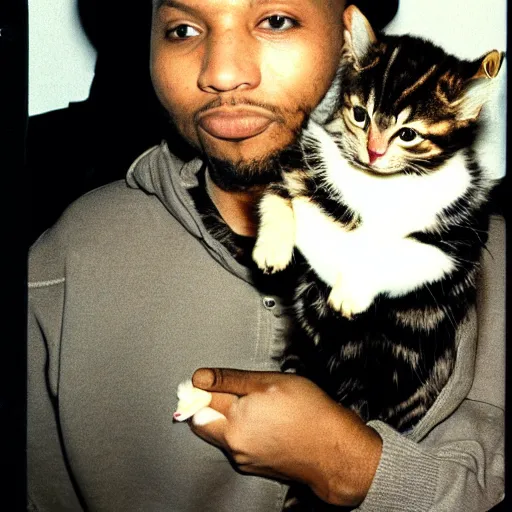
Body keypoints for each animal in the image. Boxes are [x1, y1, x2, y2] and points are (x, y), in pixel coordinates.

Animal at [253, 2, 504, 438]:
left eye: (408, 134)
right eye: (360, 115)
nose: (373, 152)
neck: (380, 184)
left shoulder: (457, 239)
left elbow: (397, 253)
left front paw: (353, 289)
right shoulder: (306, 156)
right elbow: (280, 191)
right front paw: (272, 246)